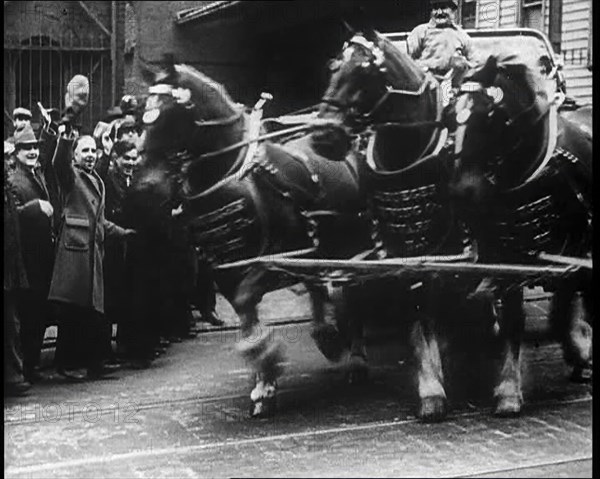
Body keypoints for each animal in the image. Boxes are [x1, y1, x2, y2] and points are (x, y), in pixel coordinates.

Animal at [127, 56, 370, 418]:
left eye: (169, 114)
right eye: (145, 110)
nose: (145, 186)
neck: (231, 176)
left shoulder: (273, 261)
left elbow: (247, 306)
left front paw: (268, 371)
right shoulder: (227, 271)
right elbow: (246, 319)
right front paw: (264, 379)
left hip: (352, 247)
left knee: (349, 292)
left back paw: (354, 357)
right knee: (319, 285)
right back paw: (327, 337)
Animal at [316, 30, 490, 422]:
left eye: (365, 72)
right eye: (332, 67)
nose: (323, 136)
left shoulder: (444, 244)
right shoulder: (401, 247)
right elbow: (419, 310)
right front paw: (431, 387)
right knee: (349, 292)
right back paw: (353, 357)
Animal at [448, 53, 592, 416]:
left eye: (489, 113)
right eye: (451, 114)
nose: (462, 190)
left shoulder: (553, 256)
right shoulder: (505, 257)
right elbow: (510, 316)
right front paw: (508, 388)